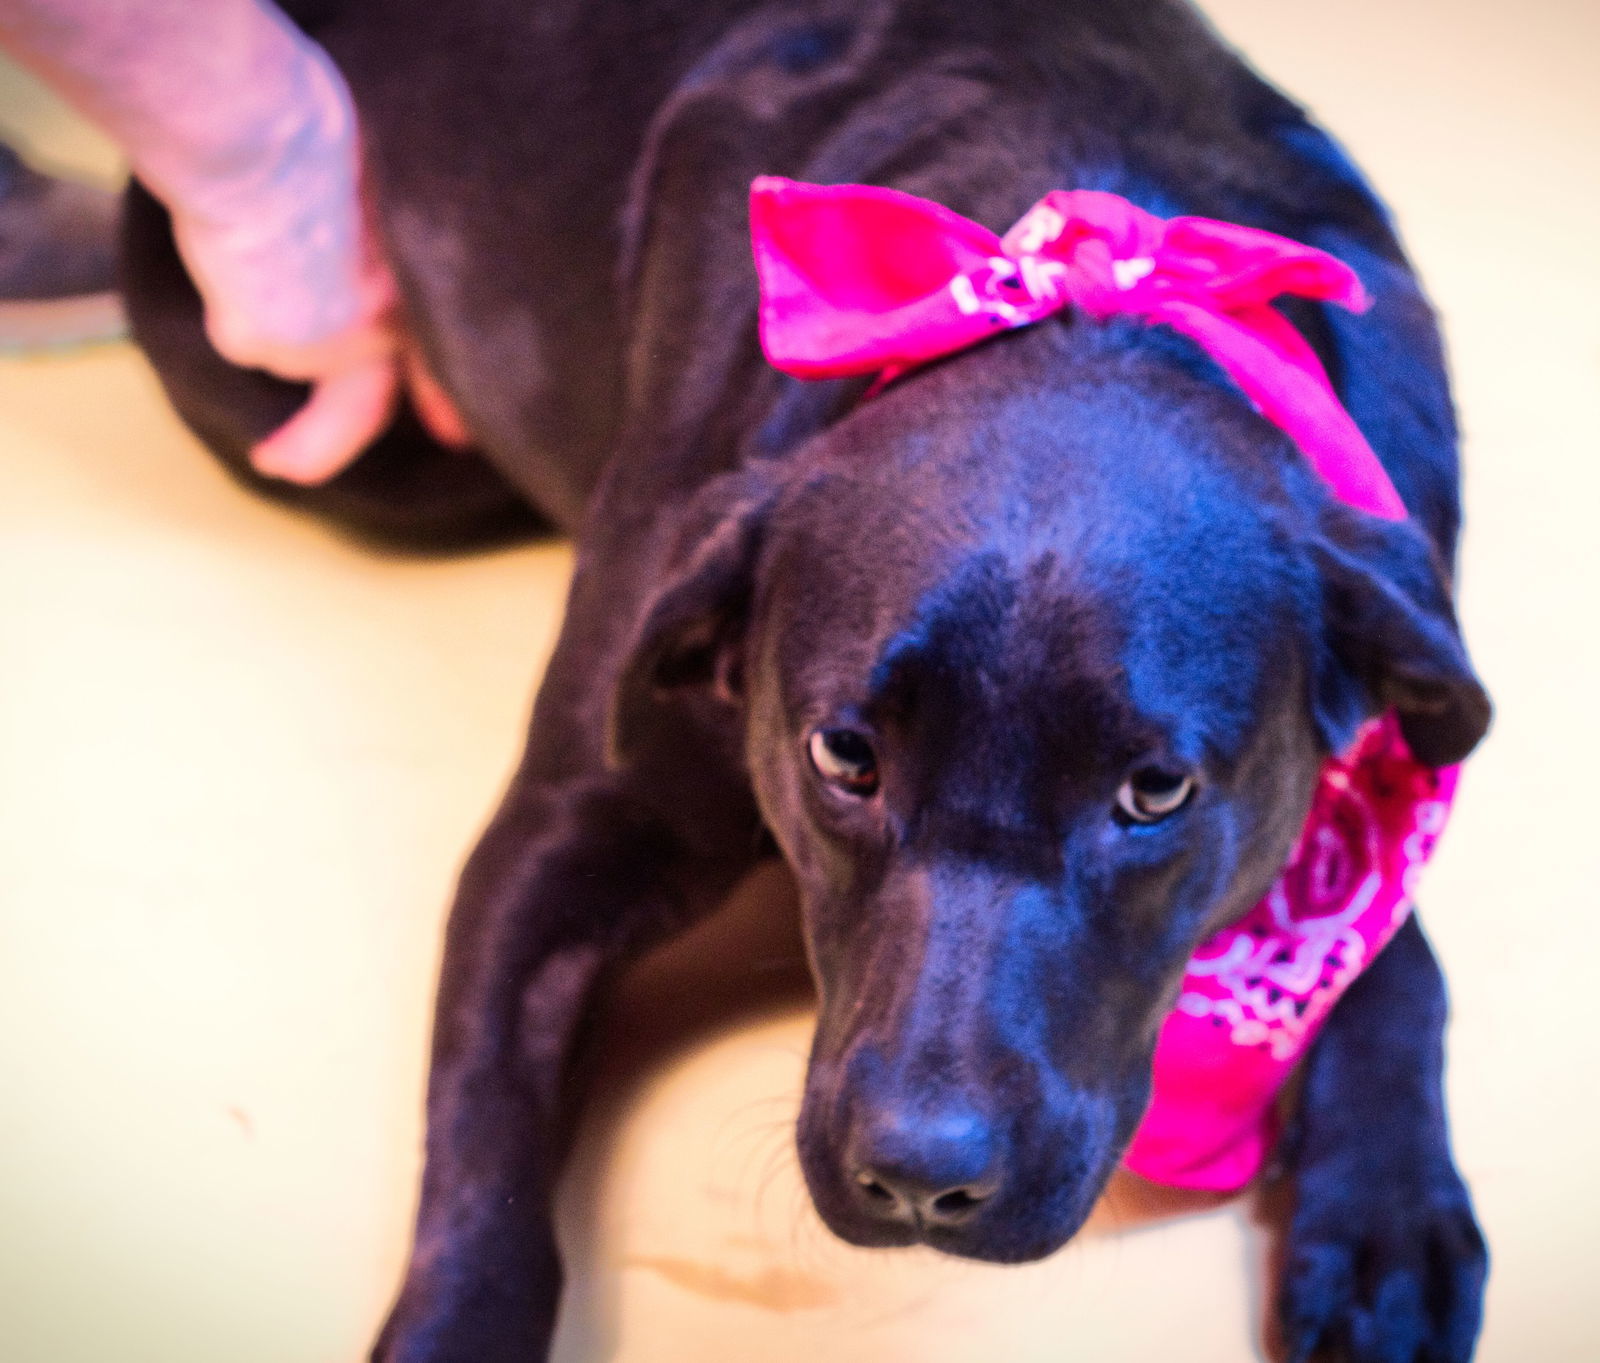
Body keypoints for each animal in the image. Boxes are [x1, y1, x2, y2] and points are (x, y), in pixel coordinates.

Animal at [118, 2, 1491, 1363]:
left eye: (1154, 792)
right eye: (844, 756)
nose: (923, 1178)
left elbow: (1396, 948)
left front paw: (1387, 1212)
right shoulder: (565, 826)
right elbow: (483, 1138)